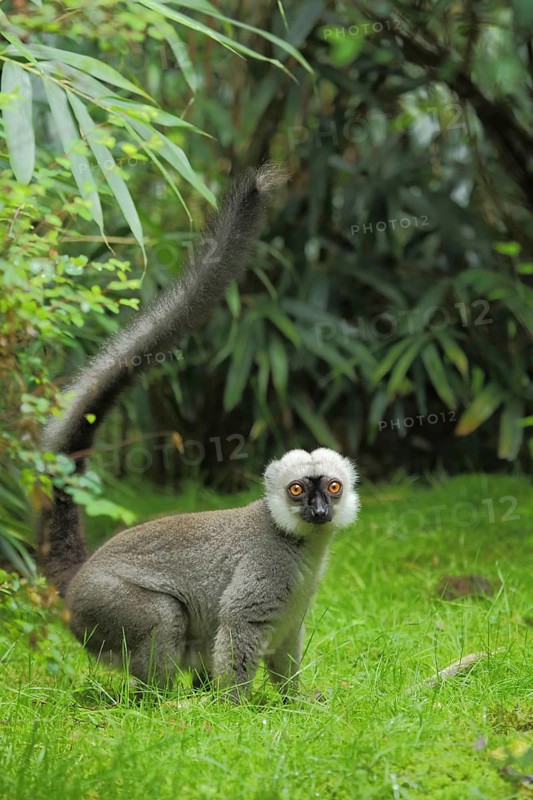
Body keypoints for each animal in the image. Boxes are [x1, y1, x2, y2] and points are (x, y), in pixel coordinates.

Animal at [38, 164, 361, 701]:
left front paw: (295, 702)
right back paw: (163, 702)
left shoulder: (295, 601)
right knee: (163, 617)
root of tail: (77, 580)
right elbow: (239, 624)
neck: (300, 544)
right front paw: (239, 707)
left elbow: (286, 642)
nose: (318, 511)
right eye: (298, 490)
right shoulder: (265, 569)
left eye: (332, 488)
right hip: (105, 608)